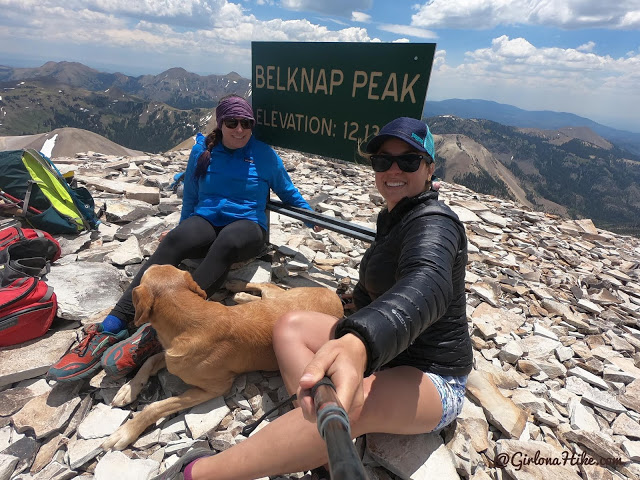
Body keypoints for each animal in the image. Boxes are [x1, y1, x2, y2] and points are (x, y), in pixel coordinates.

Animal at [104, 264, 344, 452]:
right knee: (266, 288)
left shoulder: (215, 387)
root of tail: (336, 298)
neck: (188, 316)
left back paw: (238, 290)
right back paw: (238, 289)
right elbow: (149, 360)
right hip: (276, 299)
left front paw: (126, 431)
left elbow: (156, 406)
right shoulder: (172, 357)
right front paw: (129, 389)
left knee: (269, 287)